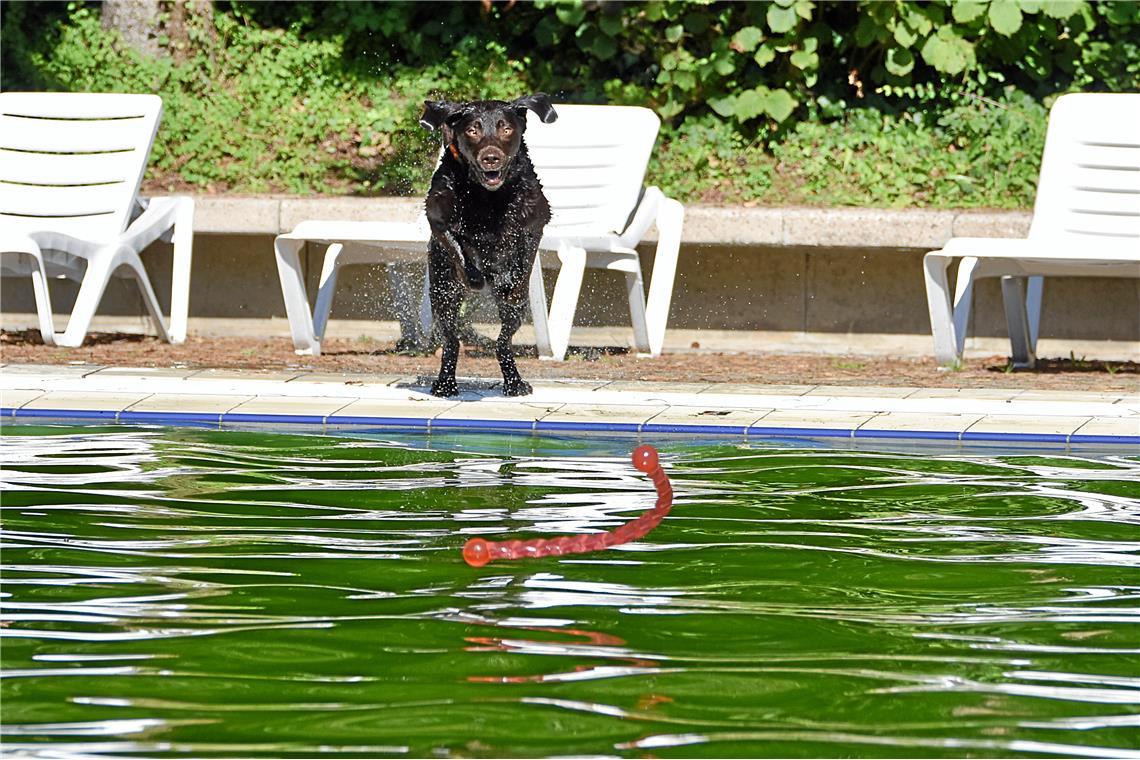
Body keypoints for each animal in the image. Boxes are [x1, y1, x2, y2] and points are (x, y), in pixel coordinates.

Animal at [421, 95, 558, 398]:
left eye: (506, 128)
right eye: (473, 130)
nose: (491, 157)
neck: (488, 197)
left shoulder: (535, 222)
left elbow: (525, 258)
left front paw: (514, 286)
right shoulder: (437, 218)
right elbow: (457, 248)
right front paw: (473, 275)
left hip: (513, 316)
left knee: (503, 342)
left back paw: (514, 382)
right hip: (442, 294)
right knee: (451, 341)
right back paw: (445, 384)